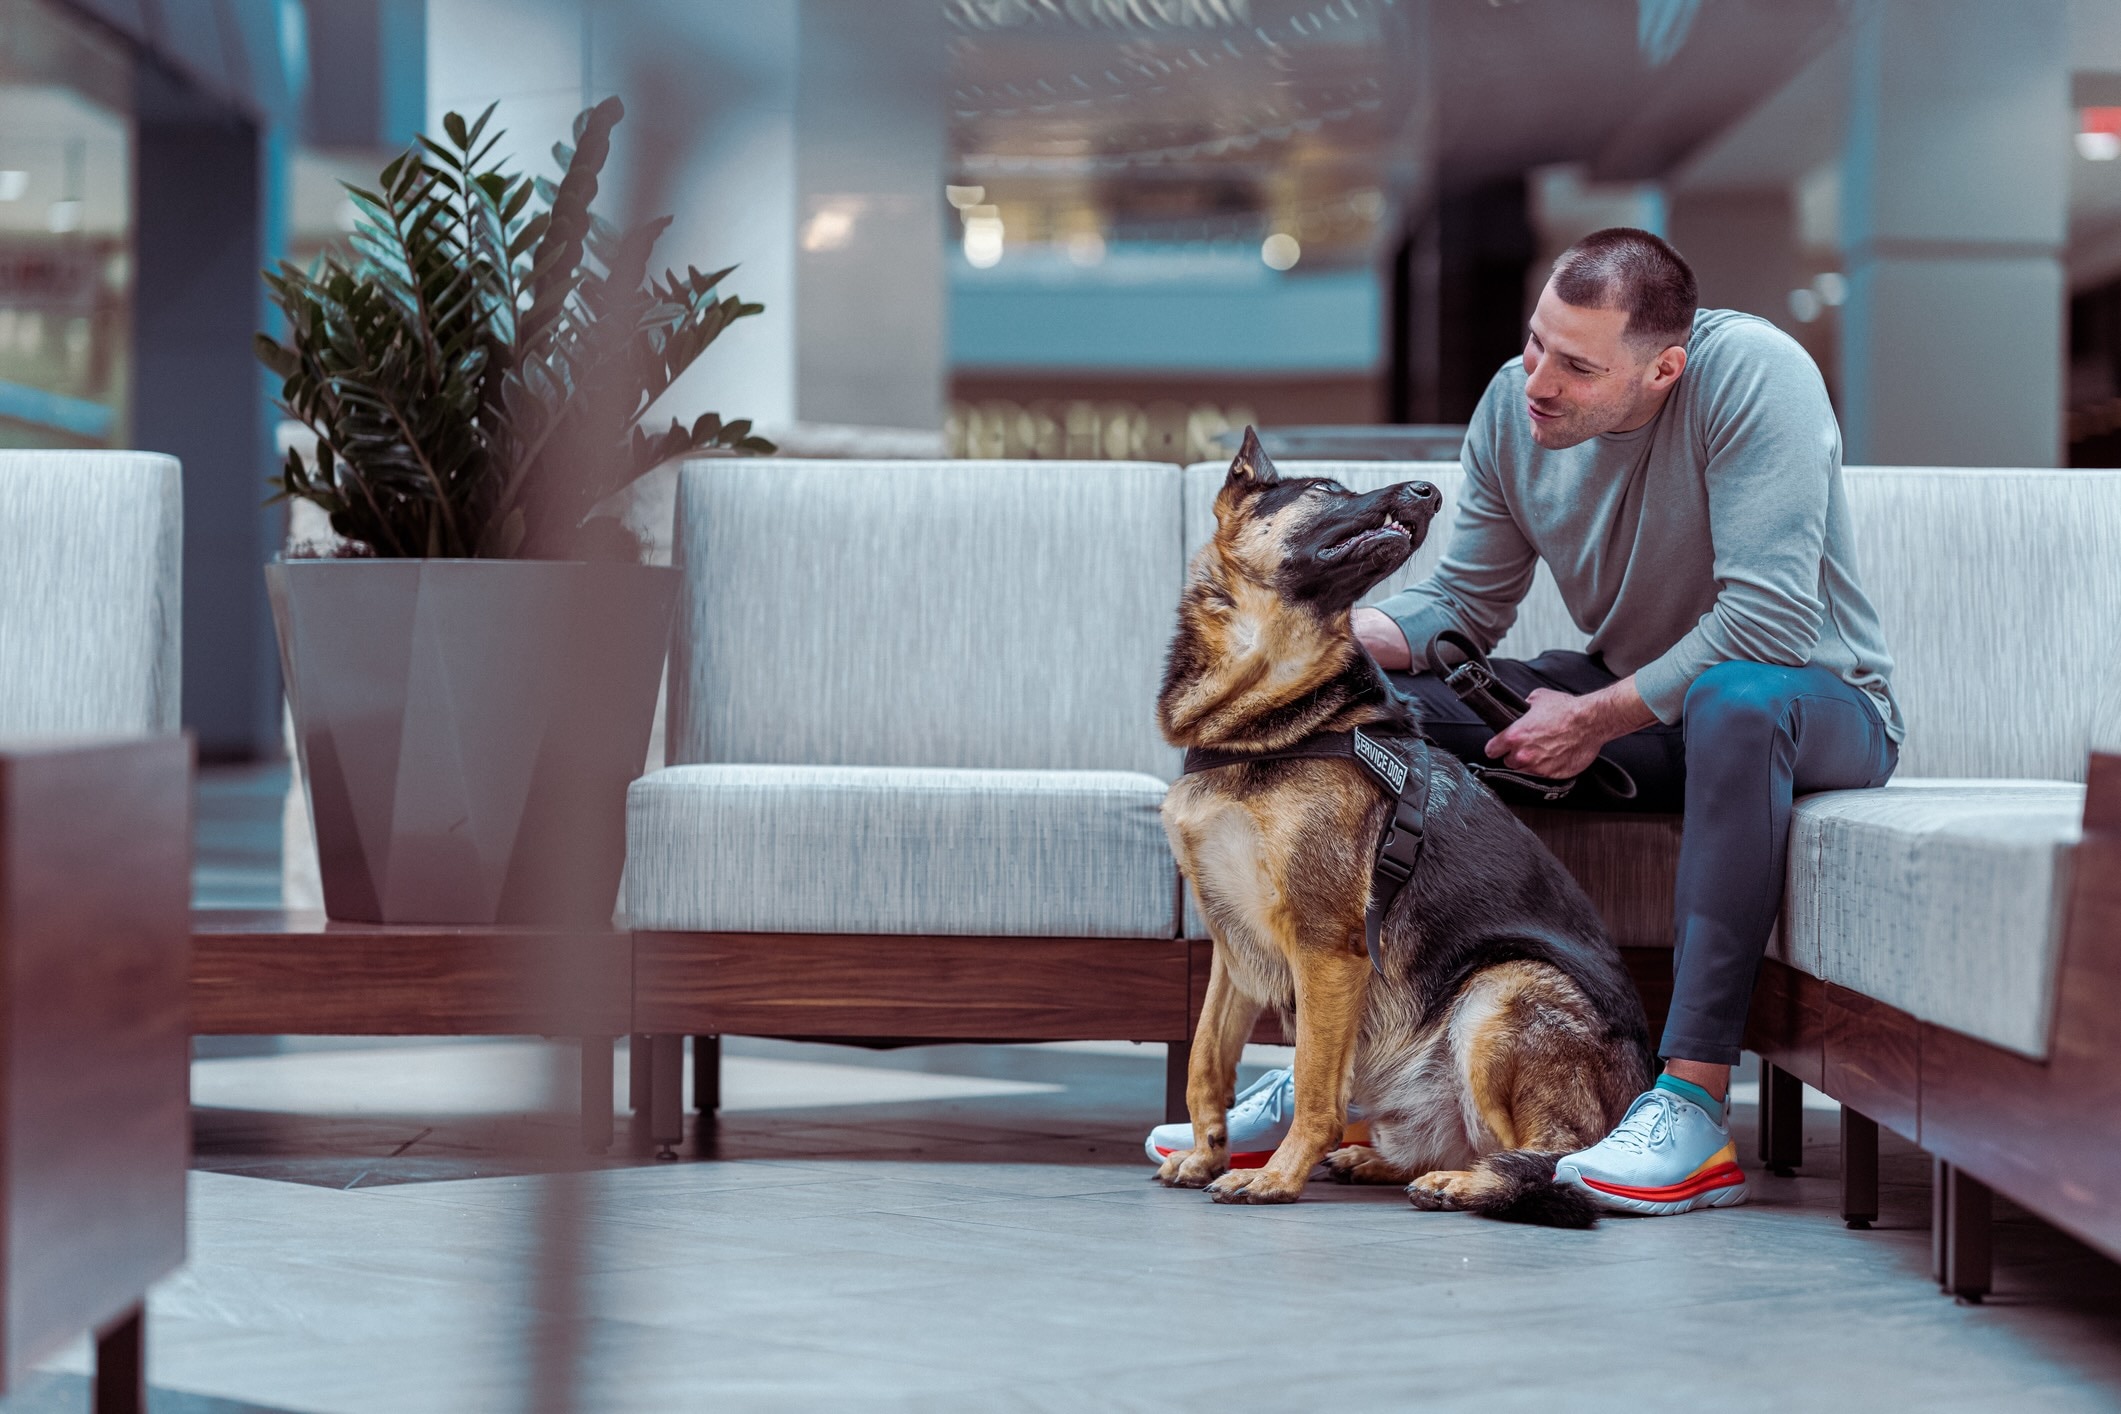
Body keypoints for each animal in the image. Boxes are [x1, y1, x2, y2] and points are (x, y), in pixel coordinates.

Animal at [1162, 432, 1654, 1229]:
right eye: (1325, 490)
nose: (1429, 491)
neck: (1258, 730)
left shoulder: (1327, 949)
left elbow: (1313, 1082)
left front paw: (1275, 1175)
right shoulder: (1232, 947)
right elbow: (1206, 1060)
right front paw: (1207, 1154)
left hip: (1499, 993)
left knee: (1558, 1162)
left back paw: (1461, 1183)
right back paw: (1387, 1162)